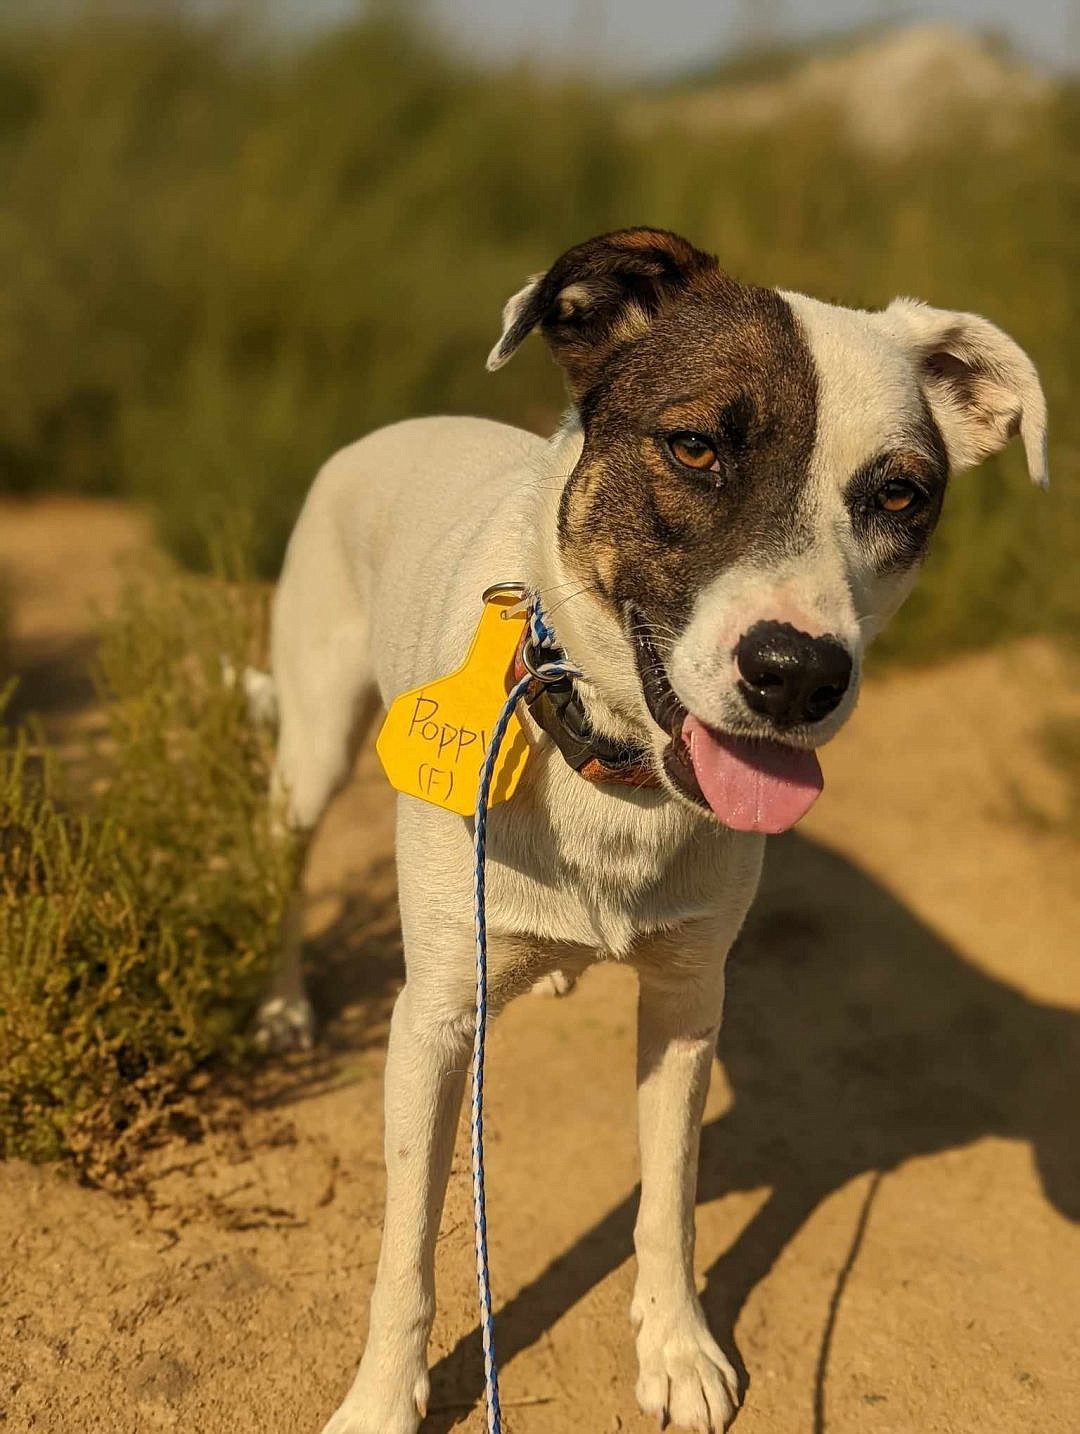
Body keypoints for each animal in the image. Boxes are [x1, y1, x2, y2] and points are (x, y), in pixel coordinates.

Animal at [261, 229, 1044, 1428]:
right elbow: (409, 1248)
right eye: (692, 446)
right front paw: (383, 1400)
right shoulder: (435, 1020)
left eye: (902, 495)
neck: (612, 766)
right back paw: (283, 1004)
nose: (797, 673)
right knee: (283, 851)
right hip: (313, 745)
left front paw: (677, 1349)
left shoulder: (686, 1001)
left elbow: (669, 1197)